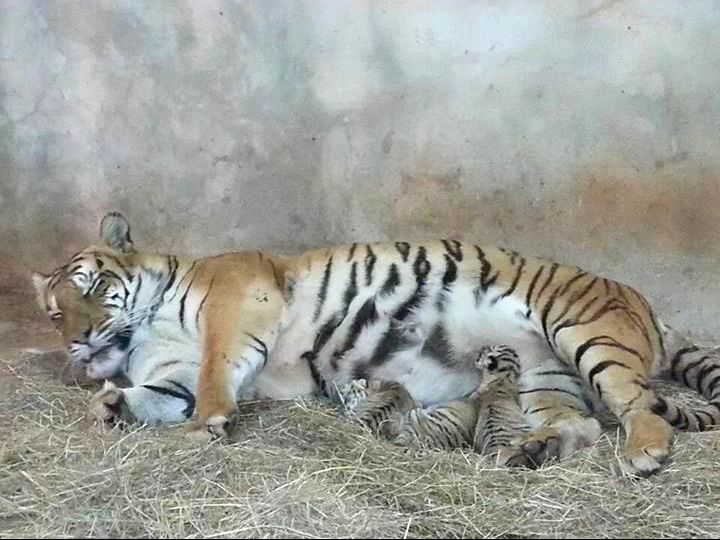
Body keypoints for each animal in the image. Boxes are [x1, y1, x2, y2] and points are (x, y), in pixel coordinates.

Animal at [31, 212, 720, 477]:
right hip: (543, 376)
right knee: (582, 425)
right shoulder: (167, 369)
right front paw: (108, 408)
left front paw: (205, 426)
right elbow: (154, 394)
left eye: (95, 288)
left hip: (584, 333)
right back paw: (535, 449)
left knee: (638, 405)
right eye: (54, 312)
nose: (79, 339)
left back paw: (645, 453)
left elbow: (213, 375)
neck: (143, 329)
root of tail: (642, 303)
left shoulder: (238, 299)